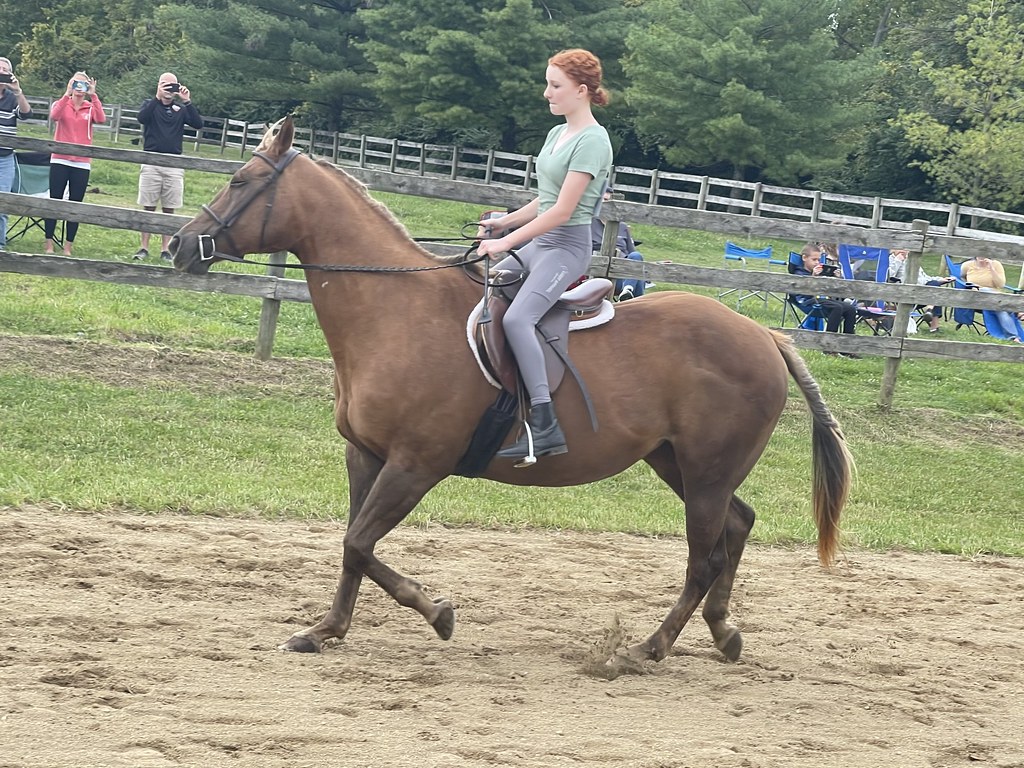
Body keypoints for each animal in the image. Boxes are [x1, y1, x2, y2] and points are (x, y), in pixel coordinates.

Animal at [169, 116, 853, 672]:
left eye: (240, 181)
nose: (179, 245)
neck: (396, 311)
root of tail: (764, 335)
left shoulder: (415, 465)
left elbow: (359, 543)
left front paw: (437, 614)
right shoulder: (364, 455)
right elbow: (352, 547)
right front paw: (326, 630)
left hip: (706, 472)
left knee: (704, 556)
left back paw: (644, 650)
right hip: (678, 463)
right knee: (737, 527)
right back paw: (722, 633)